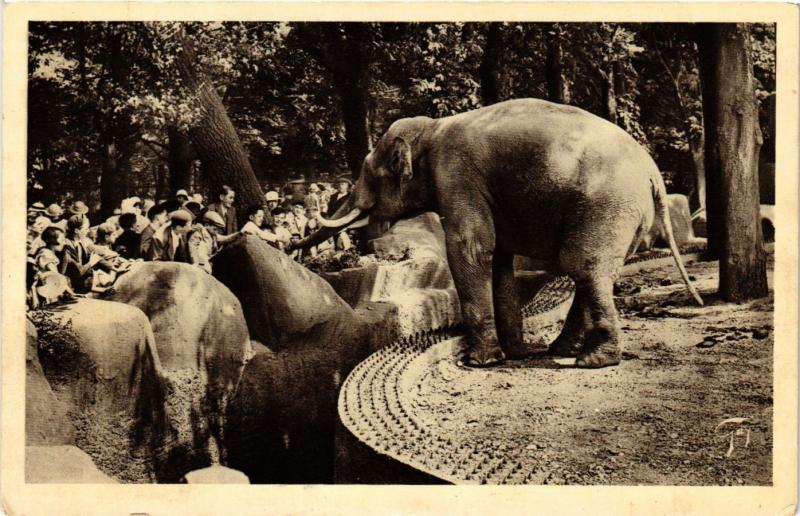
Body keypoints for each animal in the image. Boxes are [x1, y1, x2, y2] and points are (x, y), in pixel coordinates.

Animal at [296, 98, 702, 368]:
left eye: (370, 173)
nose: (298, 251)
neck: (433, 128)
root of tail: (653, 173)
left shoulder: (456, 176)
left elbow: (471, 249)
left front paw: (481, 361)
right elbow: (499, 258)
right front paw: (514, 352)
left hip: (607, 204)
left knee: (583, 265)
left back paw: (592, 360)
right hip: (626, 215)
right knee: (595, 270)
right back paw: (563, 350)